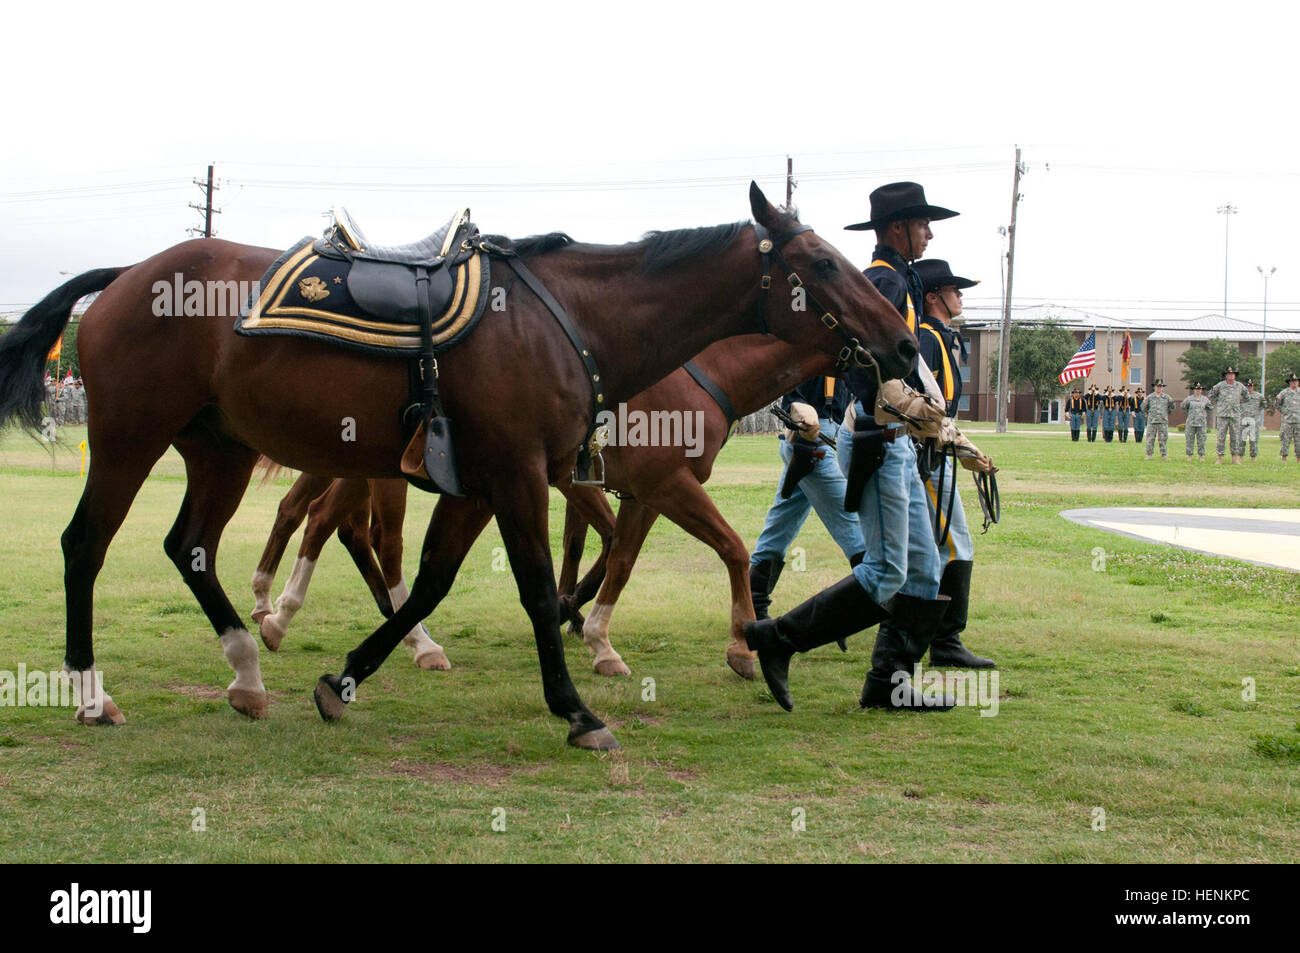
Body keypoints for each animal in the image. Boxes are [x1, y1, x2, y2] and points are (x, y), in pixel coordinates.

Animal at [0, 184, 915, 748]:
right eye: (822, 263)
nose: (903, 340)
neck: (567, 317)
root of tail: (128, 275)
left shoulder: (486, 483)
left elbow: (440, 579)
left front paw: (345, 677)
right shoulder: (525, 476)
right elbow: (545, 586)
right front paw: (579, 706)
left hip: (222, 450)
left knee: (194, 546)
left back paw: (249, 667)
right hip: (131, 439)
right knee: (88, 547)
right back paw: (95, 693)